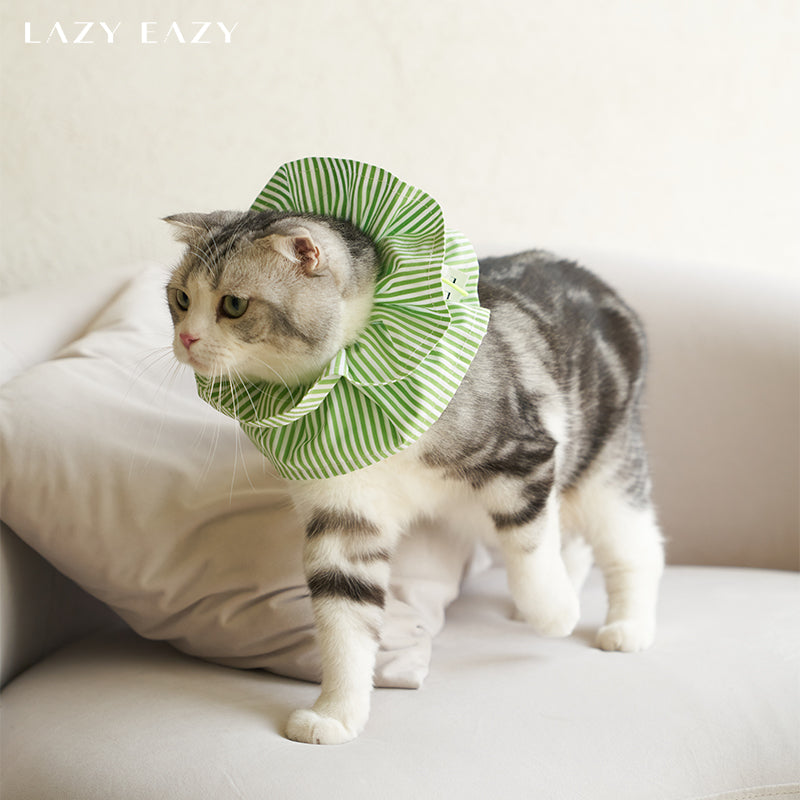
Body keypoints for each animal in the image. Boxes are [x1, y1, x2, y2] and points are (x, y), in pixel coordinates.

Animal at [162, 209, 664, 748]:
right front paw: (336, 714)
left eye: (234, 304)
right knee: (572, 540)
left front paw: (554, 613)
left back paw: (627, 625)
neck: (350, 380)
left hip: (605, 466)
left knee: (632, 546)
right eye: (181, 298)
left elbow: (528, 546)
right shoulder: (345, 514)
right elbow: (344, 620)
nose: (186, 338)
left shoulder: (524, 454)